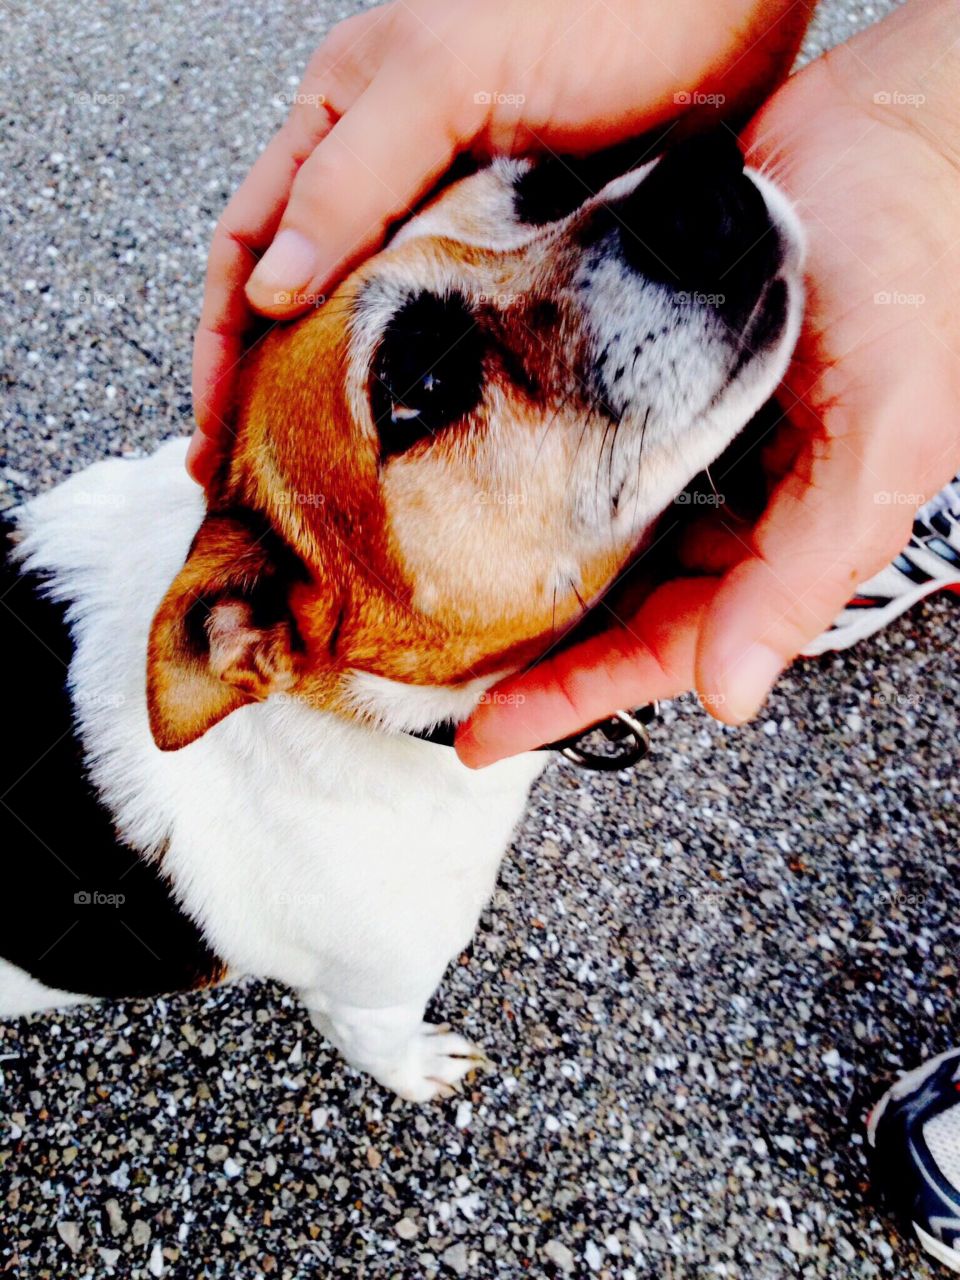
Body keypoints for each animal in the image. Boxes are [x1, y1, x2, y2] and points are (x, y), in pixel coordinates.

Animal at [1, 135, 803, 1105]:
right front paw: (425, 1070)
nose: (704, 187)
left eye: (556, 178)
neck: (366, 712)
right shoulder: (369, 995)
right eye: (419, 381)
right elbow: (383, 1045)